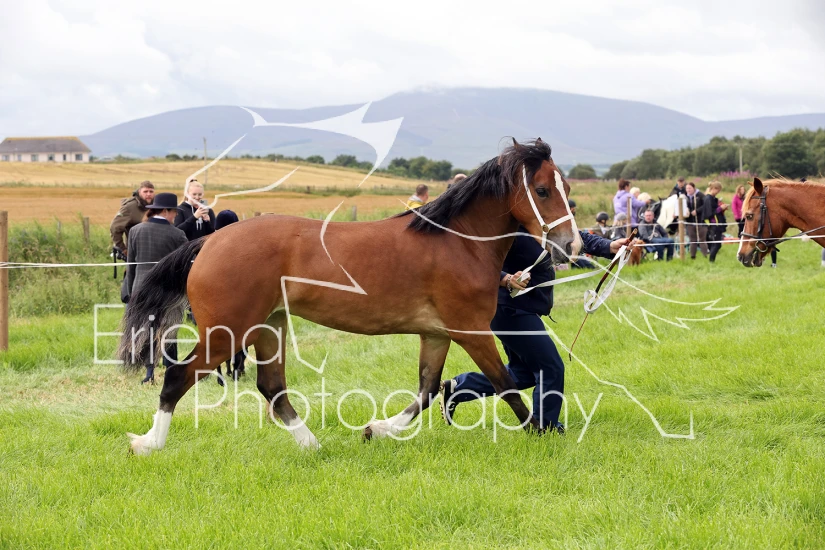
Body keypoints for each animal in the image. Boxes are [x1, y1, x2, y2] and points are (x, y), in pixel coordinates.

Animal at [117, 138, 582, 455]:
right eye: (543, 190)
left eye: (567, 187)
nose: (570, 245)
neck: (458, 241)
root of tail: (210, 241)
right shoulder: (471, 330)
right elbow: (506, 384)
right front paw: (540, 433)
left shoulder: (436, 334)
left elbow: (428, 389)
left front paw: (377, 429)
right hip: (228, 331)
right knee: (179, 376)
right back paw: (148, 443)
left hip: (269, 325)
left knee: (272, 388)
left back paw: (312, 445)